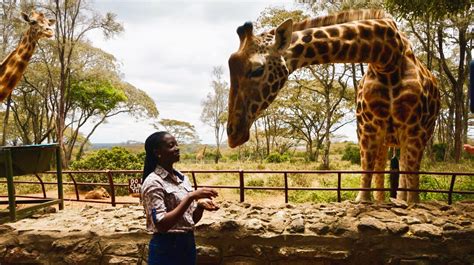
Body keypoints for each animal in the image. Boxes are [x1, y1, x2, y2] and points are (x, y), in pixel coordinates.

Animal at [227, 8, 440, 202]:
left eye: (257, 70)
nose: (233, 134)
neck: (388, 58)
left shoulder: (414, 129)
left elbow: (412, 188)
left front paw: (408, 203)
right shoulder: (367, 127)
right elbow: (367, 175)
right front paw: (369, 201)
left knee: (404, 169)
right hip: (387, 137)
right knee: (383, 167)